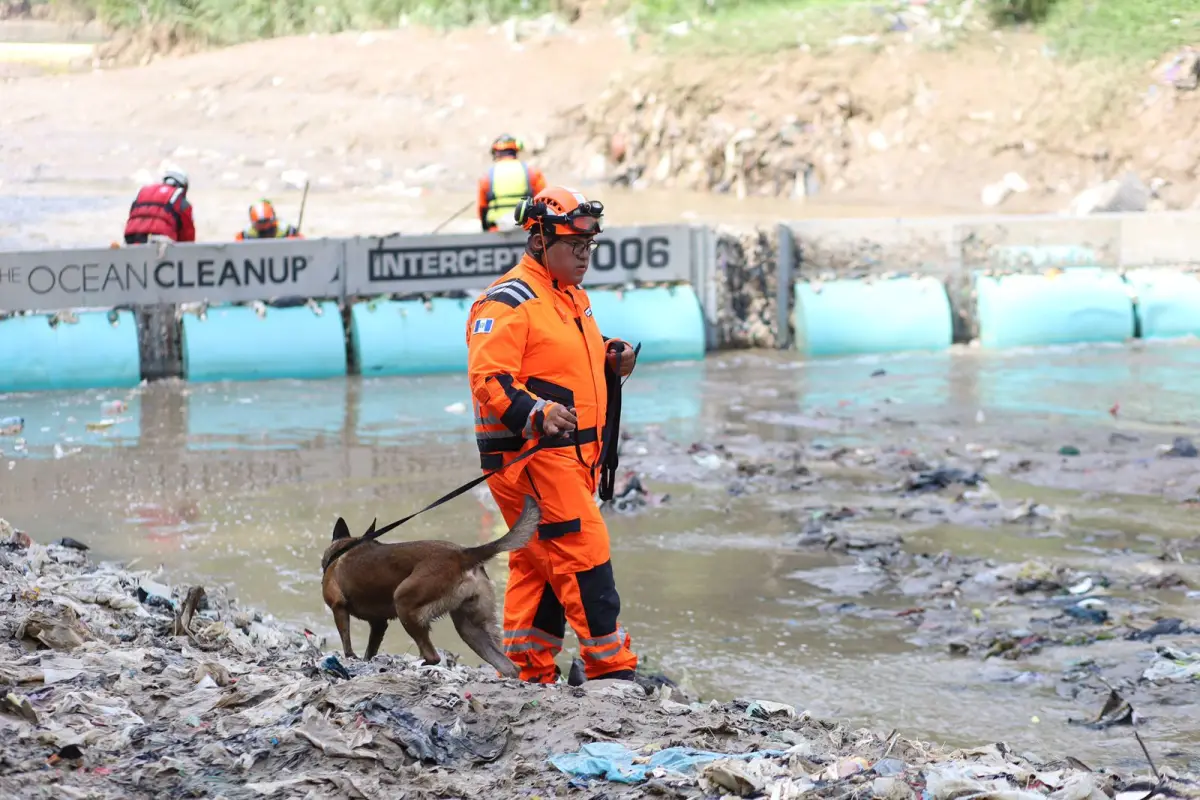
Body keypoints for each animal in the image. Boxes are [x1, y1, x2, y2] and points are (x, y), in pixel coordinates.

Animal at [321, 496, 542, 681]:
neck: (343, 549)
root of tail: (463, 554)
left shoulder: (339, 608)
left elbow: (347, 644)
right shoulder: (379, 624)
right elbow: (370, 649)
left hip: (404, 603)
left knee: (432, 655)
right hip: (471, 628)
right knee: (508, 666)